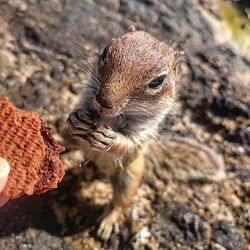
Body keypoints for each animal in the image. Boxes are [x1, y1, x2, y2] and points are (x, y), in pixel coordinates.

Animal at [67, 26, 225, 241]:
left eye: (158, 81)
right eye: (105, 52)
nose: (103, 101)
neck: (109, 118)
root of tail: (102, 169)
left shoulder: (143, 131)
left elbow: (129, 144)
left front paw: (110, 139)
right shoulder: (87, 96)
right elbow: (78, 110)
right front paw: (75, 119)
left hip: (129, 178)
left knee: (118, 202)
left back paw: (108, 221)